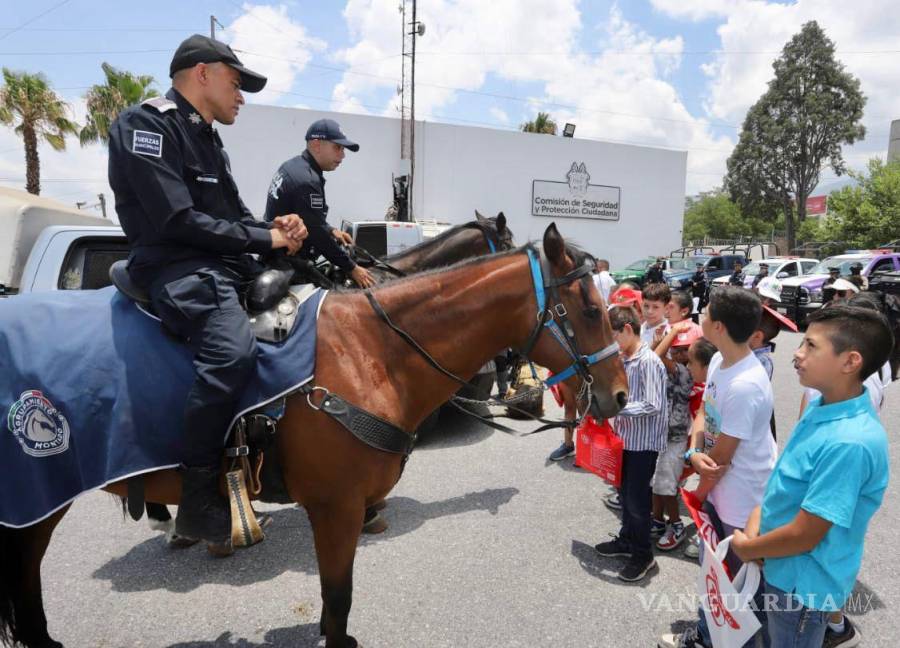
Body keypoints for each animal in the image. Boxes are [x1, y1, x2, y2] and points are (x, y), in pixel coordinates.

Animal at [0, 224, 624, 648]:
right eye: (592, 309)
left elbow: (334, 601)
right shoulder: (335, 506)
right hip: (38, 494)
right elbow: (338, 596)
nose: (619, 394)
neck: (372, 352)